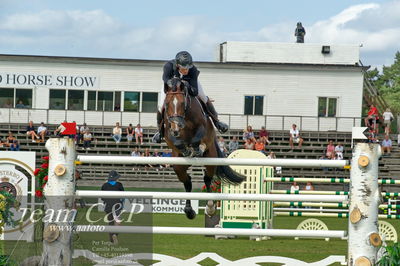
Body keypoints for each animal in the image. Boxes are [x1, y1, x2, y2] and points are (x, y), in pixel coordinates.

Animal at [162, 78, 244, 219]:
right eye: (167, 104)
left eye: (182, 103)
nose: (176, 128)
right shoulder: (169, 132)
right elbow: (176, 142)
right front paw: (186, 149)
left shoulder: (203, 129)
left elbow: (198, 139)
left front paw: (197, 149)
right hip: (179, 166)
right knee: (187, 181)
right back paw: (189, 211)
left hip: (211, 158)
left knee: (207, 178)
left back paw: (210, 208)